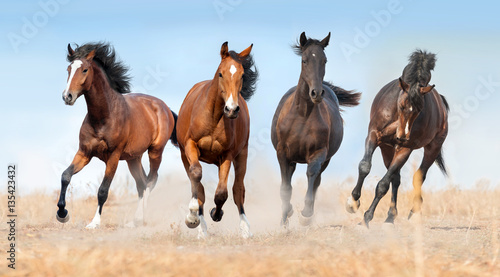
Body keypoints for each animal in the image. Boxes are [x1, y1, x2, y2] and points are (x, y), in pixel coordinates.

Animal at [56, 41, 178, 226]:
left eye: (84, 70)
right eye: (68, 69)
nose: (67, 96)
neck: (103, 117)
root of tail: (165, 107)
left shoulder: (113, 156)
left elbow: (103, 190)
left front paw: (94, 223)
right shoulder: (84, 153)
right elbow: (65, 176)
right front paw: (62, 213)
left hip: (155, 151)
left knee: (151, 180)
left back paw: (140, 218)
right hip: (133, 158)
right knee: (142, 183)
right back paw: (135, 220)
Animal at [177, 41, 258, 237]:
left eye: (242, 75)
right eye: (221, 73)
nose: (232, 109)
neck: (213, 117)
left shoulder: (227, 154)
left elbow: (222, 192)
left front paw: (216, 212)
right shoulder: (190, 146)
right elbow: (196, 177)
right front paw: (192, 216)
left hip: (241, 155)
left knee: (238, 189)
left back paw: (245, 228)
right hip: (184, 155)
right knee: (197, 185)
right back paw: (200, 227)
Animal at [272, 32, 362, 225]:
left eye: (324, 60)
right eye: (304, 60)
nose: (316, 93)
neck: (302, 116)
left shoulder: (319, 152)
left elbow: (312, 175)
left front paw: (306, 213)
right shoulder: (282, 153)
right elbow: (285, 187)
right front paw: (285, 218)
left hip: (326, 159)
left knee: (317, 179)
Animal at [346, 49, 452, 226]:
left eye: (419, 109)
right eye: (402, 106)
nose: (402, 136)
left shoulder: (405, 149)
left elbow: (383, 184)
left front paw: (367, 217)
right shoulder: (374, 136)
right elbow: (365, 166)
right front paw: (353, 203)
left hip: (432, 148)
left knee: (418, 176)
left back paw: (412, 211)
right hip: (387, 149)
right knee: (396, 178)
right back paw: (390, 216)